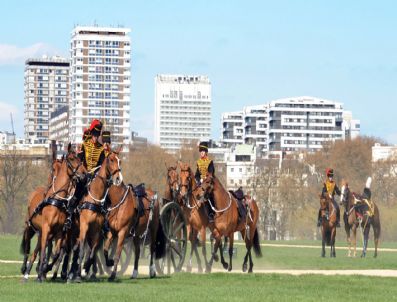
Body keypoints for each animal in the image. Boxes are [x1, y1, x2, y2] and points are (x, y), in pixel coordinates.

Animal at [21, 144, 84, 280]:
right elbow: (45, 252)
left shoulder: (59, 232)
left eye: (79, 158)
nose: (84, 173)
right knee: (28, 247)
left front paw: (45, 268)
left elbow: (55, 253)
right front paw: (40, 273)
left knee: (36, 252)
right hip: (30, 228)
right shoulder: (46, 228)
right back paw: (25, 269)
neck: (57, 200)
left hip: (42, 233)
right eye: (72, 159)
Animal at [71, 148, 123, 280]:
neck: (95, 197)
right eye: (111, 160)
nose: (118, 178)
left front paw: (85, 269)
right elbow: (82, 251)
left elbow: (92, 252)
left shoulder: (96, 230)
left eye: (120, 161)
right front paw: (78, 274)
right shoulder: (84, 226)